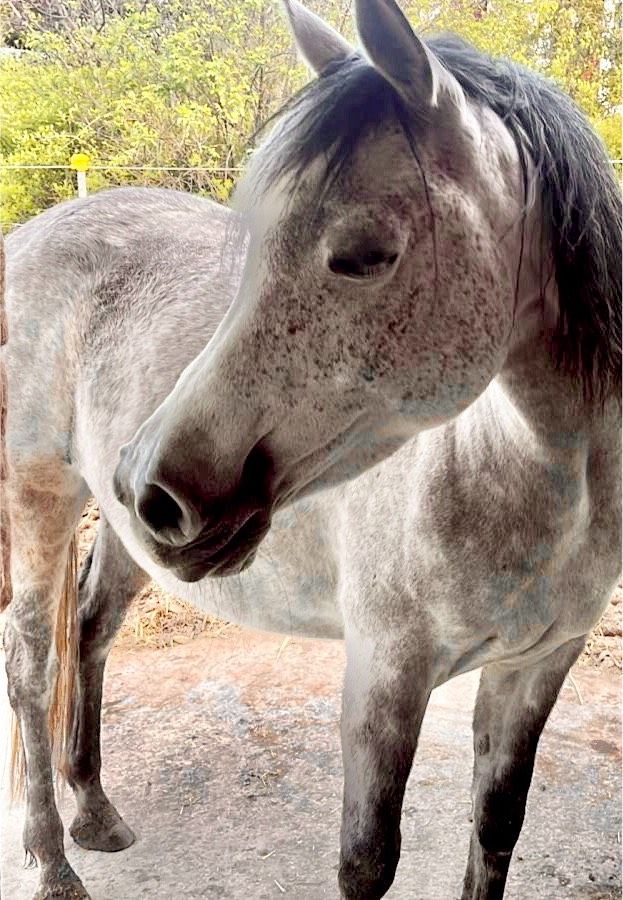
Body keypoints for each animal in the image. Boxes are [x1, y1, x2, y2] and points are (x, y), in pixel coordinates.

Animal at [2, 1, 620, 900]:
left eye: (362, 255)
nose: (153, 488)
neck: (530, 481)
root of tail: (27, 237)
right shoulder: (383, 680)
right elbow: (366, 863)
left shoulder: (534, 670)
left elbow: (495, 829)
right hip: (41, 496)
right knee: (30, 662)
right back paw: (52, 863)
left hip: (125, 537)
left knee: (89, 628)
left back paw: (97, 813)